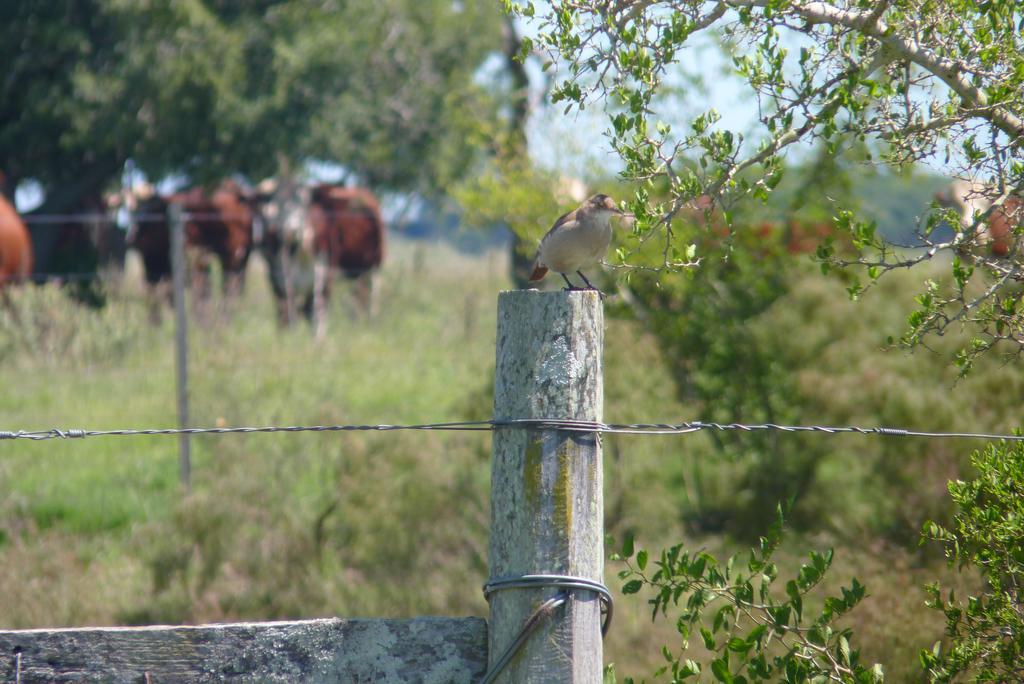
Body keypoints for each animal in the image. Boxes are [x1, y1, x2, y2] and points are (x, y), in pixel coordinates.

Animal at [258, 179, 385, 333]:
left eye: (304, 206)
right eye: (278, 206)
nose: (291, 231)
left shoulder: (324, 275)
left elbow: (317, 313)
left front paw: (318, 339)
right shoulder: (279, 279)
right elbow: (287, 314)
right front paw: (288, 336)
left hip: (373, 267)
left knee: (371, 298)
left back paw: (370, 325)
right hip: (356, 273)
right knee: (355, 300)